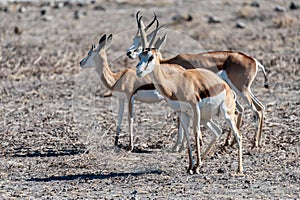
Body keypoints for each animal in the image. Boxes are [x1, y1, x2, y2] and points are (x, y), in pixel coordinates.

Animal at [127, 12, 268, 148]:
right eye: (134, 40)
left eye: (140, 45)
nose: (129, 53)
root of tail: (253, 60)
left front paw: (186, 144)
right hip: (241, 90)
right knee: (255, 107)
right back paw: (233, 142)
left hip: (241, 89)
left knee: (255, 110)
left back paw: (254, 142)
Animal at [135, 16, 243, 174]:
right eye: (140, 57)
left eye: (151, 57)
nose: (138, 71)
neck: (174, 84)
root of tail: (228, 89)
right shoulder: (183, 112)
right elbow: (186, 133)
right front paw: (191, 166)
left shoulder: (194, 108)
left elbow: (195, 132)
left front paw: (196, 166)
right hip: (206, 118)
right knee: (217, 132)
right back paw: (201, 161)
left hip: (226, 114)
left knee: (238, 135)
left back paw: (239, 169)